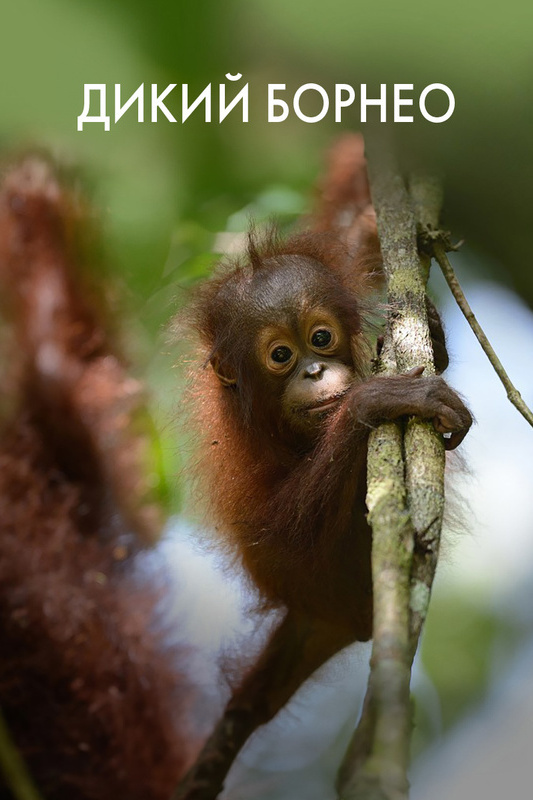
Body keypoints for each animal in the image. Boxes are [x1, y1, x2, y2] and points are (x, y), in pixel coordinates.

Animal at [173, 137, 472, 799]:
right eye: (281, 355)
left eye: (321, 337)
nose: (314, 370)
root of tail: (324, 619)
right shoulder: (245, 463)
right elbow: (280, 535)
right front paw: (375, 401)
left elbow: (357, 226)